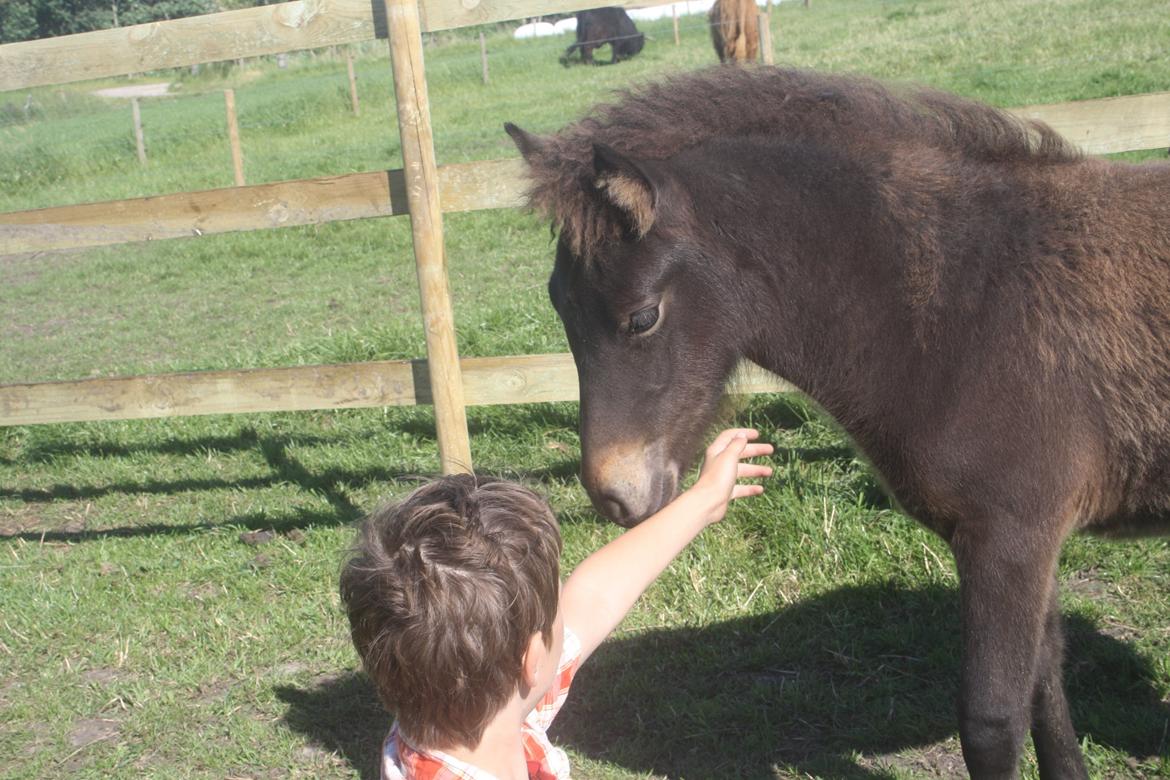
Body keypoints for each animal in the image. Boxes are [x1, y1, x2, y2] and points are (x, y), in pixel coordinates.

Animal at [507, 68, 1170, 780]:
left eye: (642, 316)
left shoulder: (1008, 535)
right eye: (558, 303)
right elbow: (1046, 688)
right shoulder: (1032, 540)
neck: (960, 305)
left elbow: (993, 722)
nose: (614, 495)